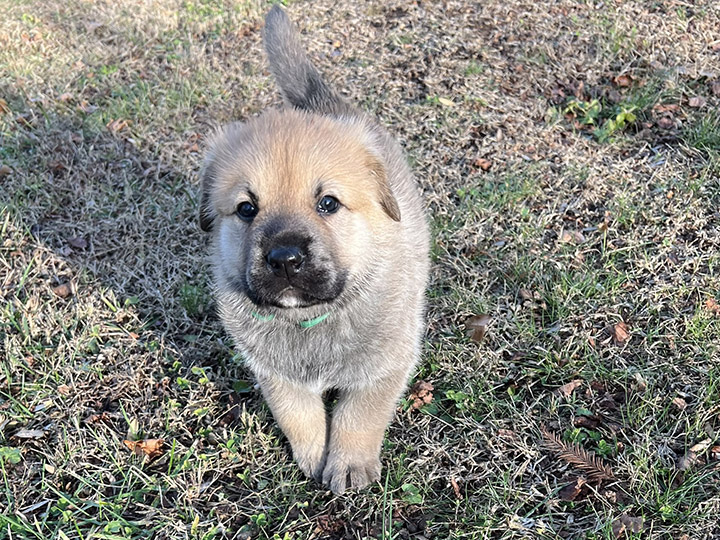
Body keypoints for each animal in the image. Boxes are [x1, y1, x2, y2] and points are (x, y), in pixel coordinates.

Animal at [198, 5, 428, 494]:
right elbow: (297, 416)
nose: (285, 259)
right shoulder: (274, 373)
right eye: (246, 209)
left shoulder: (385, 366)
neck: (309, 320)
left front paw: (348, 463)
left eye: (328, 203)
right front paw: (311, 456)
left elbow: (359, 415)